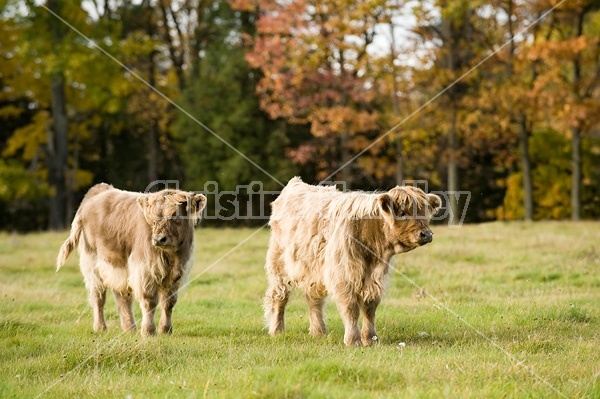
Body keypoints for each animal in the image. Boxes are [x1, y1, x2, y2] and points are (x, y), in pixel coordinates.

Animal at [56, 185, 206, 338]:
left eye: (176, 215)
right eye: (152, 217)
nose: (159, 239)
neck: (171, 257)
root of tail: (98, 190)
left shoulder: (176, 273)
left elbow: (169, 302)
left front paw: (165, 330)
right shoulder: (145, 270)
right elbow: (150, 301)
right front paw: (148, 331)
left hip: (118, 266)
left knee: (122, 297)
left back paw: (129, 328)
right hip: (92, 263)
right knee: (98, 297)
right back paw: (101, 327)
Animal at [266, 178, 440, 346]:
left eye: (425, 213)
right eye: (403, 213)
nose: (426, 234)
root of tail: (296, 183)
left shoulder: (375, 277)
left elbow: (370, 307)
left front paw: (370, 339)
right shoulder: (344, 275)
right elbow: (351, 308)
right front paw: (353, 340)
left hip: (312, 270)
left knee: (314, 300)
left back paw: (318, 332)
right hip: (279, 266)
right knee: (279, 297)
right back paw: (277, 331)